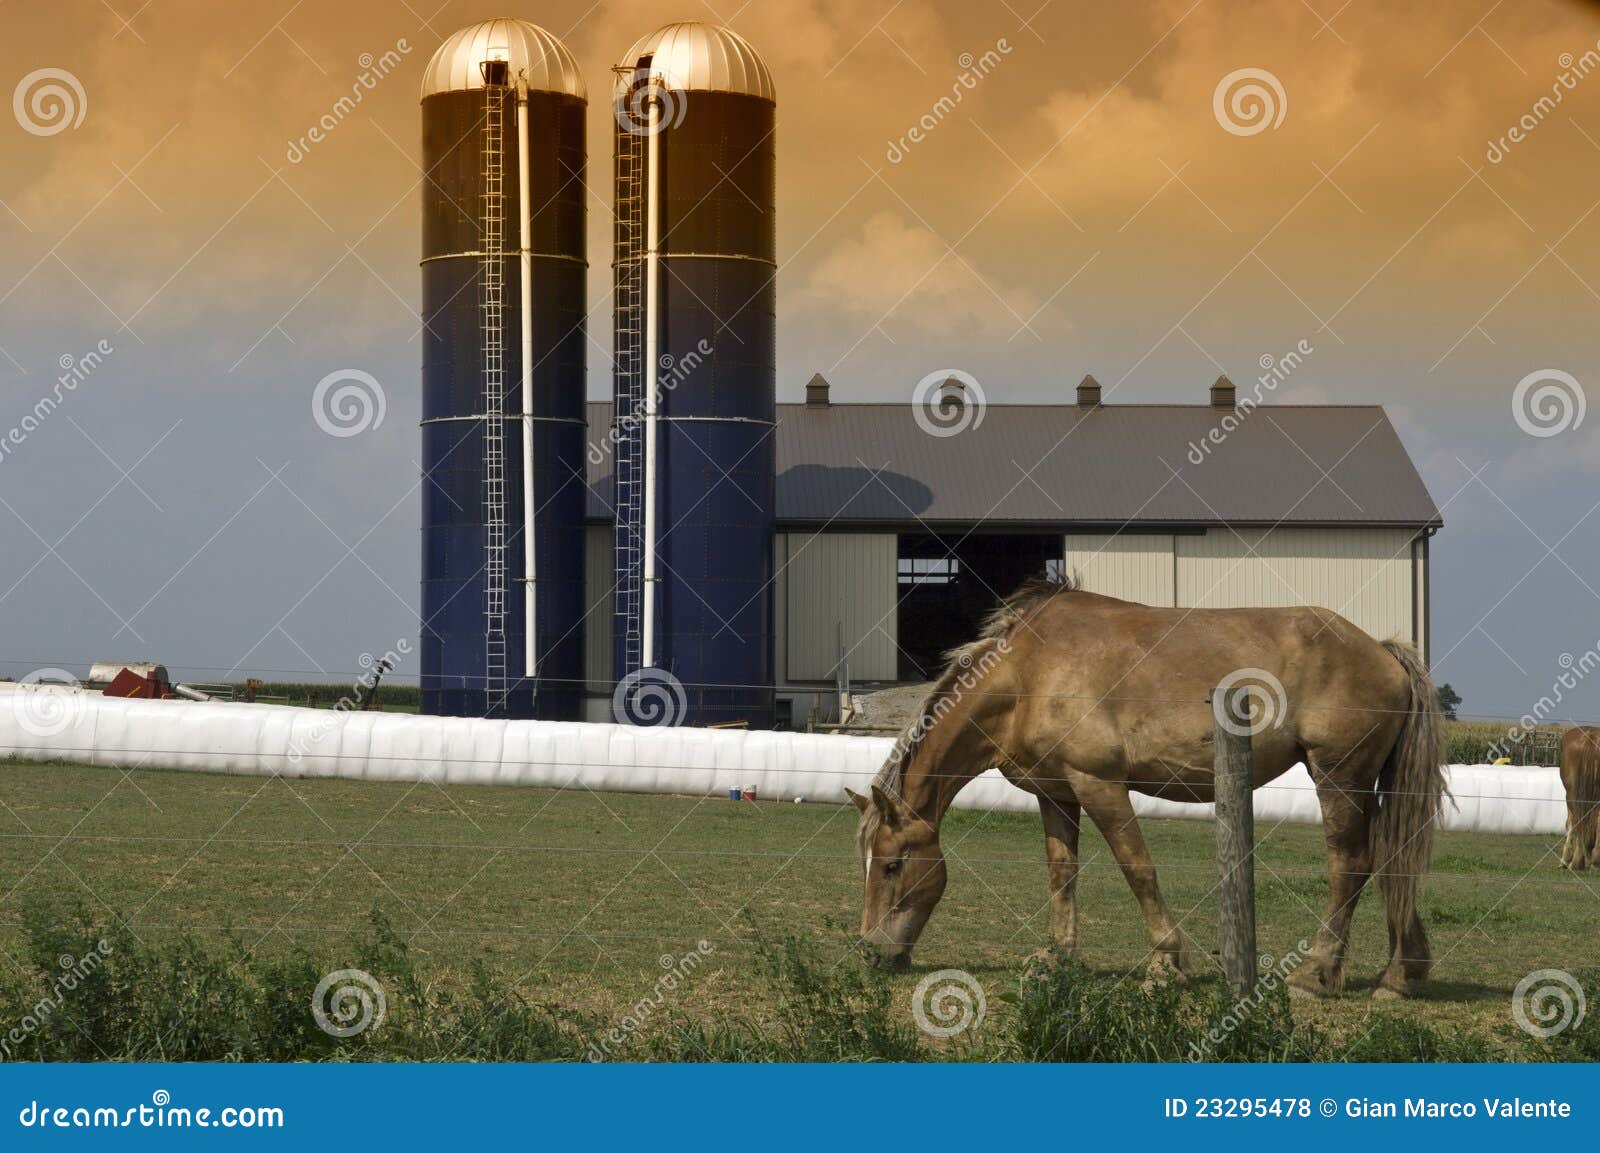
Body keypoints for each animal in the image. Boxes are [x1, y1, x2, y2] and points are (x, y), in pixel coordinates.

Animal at [851, 578, 1452, 991]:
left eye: (893, 865)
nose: (871, 953)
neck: (1028, 674)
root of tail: (1380, 648)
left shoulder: (1099, 784)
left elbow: (1136, 868)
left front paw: (1167, 962)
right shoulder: (1055, 794)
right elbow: (1061, 873)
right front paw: (1056, 955)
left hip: (1339, 776)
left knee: (1350, 863)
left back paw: (1315, 973)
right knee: (1390, 860)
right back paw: (1400, 976)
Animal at [1561, 722, 1600, 869]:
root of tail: (1590, 737)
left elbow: (1570, 823)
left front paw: (1565, 859)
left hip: (1572, 793)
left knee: (1578, 820)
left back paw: (1576, 862)